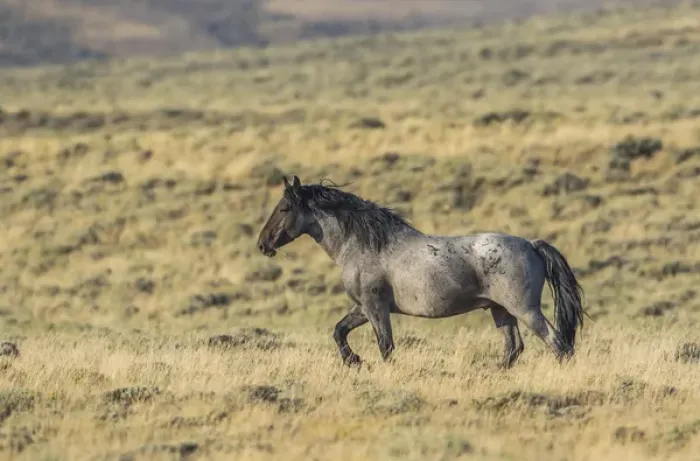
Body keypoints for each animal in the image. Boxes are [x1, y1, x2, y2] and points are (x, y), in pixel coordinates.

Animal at [257, 175, 586, 369]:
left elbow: (386, 347)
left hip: (524, 309)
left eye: (284, 208)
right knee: (513, 349)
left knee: (558, 344)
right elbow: (339, 331)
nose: (263, 244)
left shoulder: (375, 308)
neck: (366, 245)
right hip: (500, 310)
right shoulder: (363, 308)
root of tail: (532, 245)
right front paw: (354, 361)